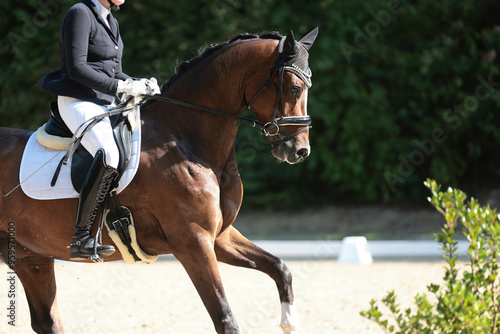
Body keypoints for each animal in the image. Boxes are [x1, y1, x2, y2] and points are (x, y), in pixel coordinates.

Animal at [0, 28, 318, 334]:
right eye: (294, 87)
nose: (300, 150)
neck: (184, 138)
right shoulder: (193, 241)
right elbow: (225, 319)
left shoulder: (219, 236)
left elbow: (280, 267)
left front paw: (289, 323)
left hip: (31, 257)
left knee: (48, 322)